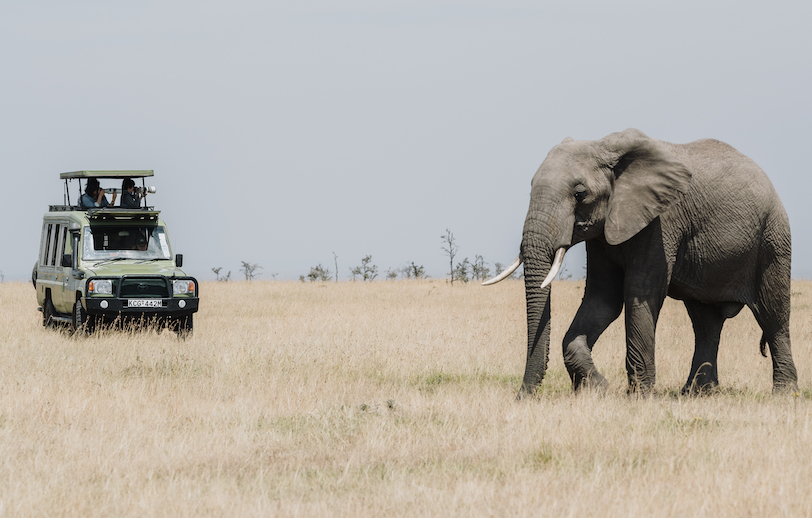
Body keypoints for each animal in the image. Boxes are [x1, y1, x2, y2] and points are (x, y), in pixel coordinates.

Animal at [486, 130, 796, 398]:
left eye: (579, 194)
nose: (522, 398)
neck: (607, 148)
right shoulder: (603, 233)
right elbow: (603, 299)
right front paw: (597, 388)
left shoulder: (661, 221)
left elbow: (640, 293)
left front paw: (638, 397)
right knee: (706, 323)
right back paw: (697, 393)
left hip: (773, 238)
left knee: (773, 316)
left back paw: (784, 394)